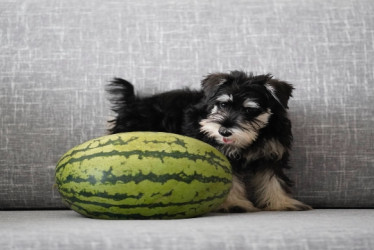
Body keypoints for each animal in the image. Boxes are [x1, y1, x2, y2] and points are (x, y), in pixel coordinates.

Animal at [106, 71, 312, 213]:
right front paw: (234, 204)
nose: (224, 131)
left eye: (249, 110)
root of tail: (132, 103)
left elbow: (274, 181)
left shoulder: (272, 156)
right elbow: (231, 183)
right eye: (223, 104)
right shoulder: (223, 158)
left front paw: (282, 203)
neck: (254, 138)